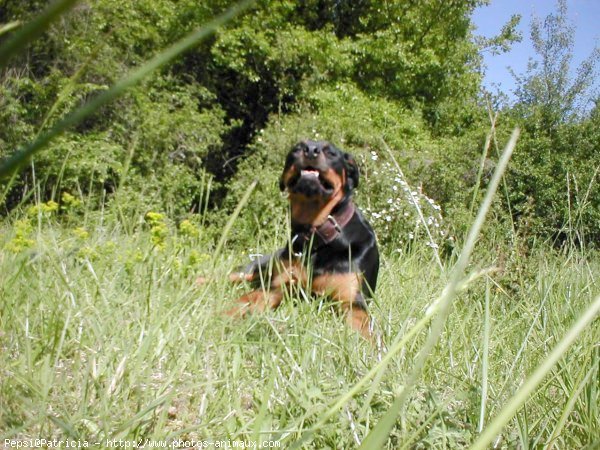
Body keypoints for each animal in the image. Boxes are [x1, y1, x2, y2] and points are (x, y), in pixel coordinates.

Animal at [223, 139, 378, 340]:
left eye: (331, 153)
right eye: (296, 149)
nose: (310, 149)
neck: (315, 237)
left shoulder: (352, 301)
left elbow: (367, 331)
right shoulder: (277, 287)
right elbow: (245, 300)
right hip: (254, 268)